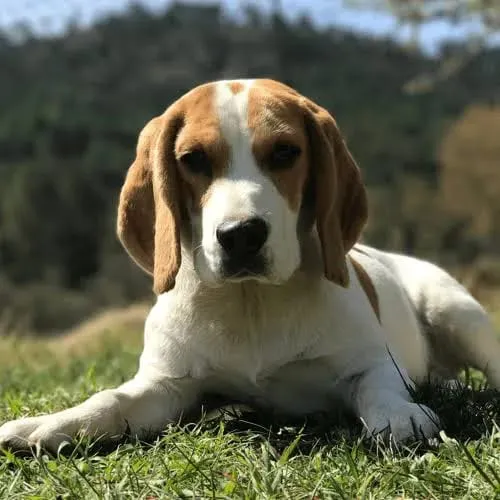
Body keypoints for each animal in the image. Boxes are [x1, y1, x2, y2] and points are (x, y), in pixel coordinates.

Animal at [0, 79, 500, 454]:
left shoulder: (371, 362)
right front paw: (53, 423)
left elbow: (379, 387)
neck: (251, 300)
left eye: (285, 152)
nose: (240, 234)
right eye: (193, 160)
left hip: (455, 311)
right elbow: (112, 398)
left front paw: (400, 414)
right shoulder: (166, 385)